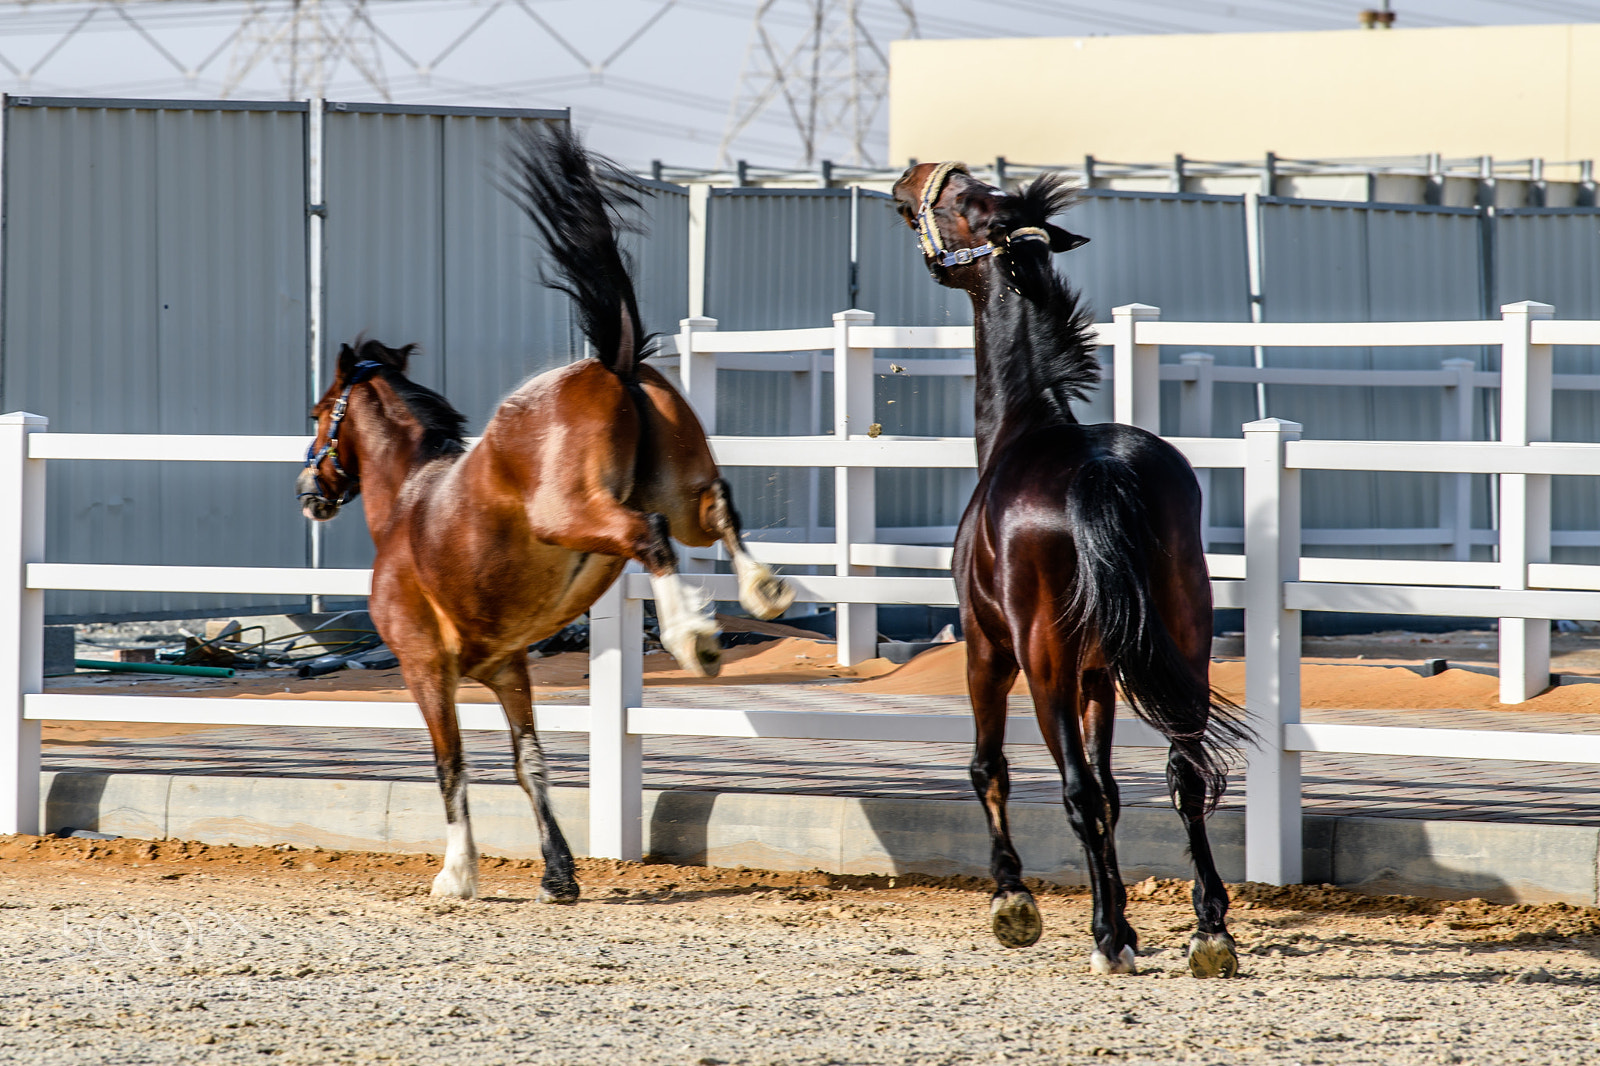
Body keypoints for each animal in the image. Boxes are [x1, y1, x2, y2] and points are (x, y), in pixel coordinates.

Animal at [296, 125, 794, 903]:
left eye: (321, 412)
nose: (307, 489)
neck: (410, 502)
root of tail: (611, 364)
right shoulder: (508, 668)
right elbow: (528, 761)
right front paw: (557, 872)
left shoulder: (424, 667)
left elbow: (451, 764)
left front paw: (456, 874)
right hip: (681, 491)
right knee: (716, 512)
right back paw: (763, 592)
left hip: (578, 518)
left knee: (650, 538)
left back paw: (695, 638)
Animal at [891, 162, 1249, 978]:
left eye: (961, 201)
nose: (912, 176)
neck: (1026, 426)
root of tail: (1099, 472)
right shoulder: (1099, 677)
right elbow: (1117, 791)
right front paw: (1135, 920)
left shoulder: (987, 652)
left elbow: (990, 768)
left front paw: (1014, 902)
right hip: (1183, 640)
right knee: (1182, 775)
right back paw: (1208, 932)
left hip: (1042, 662)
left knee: (1075, 789)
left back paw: (1105, 939)